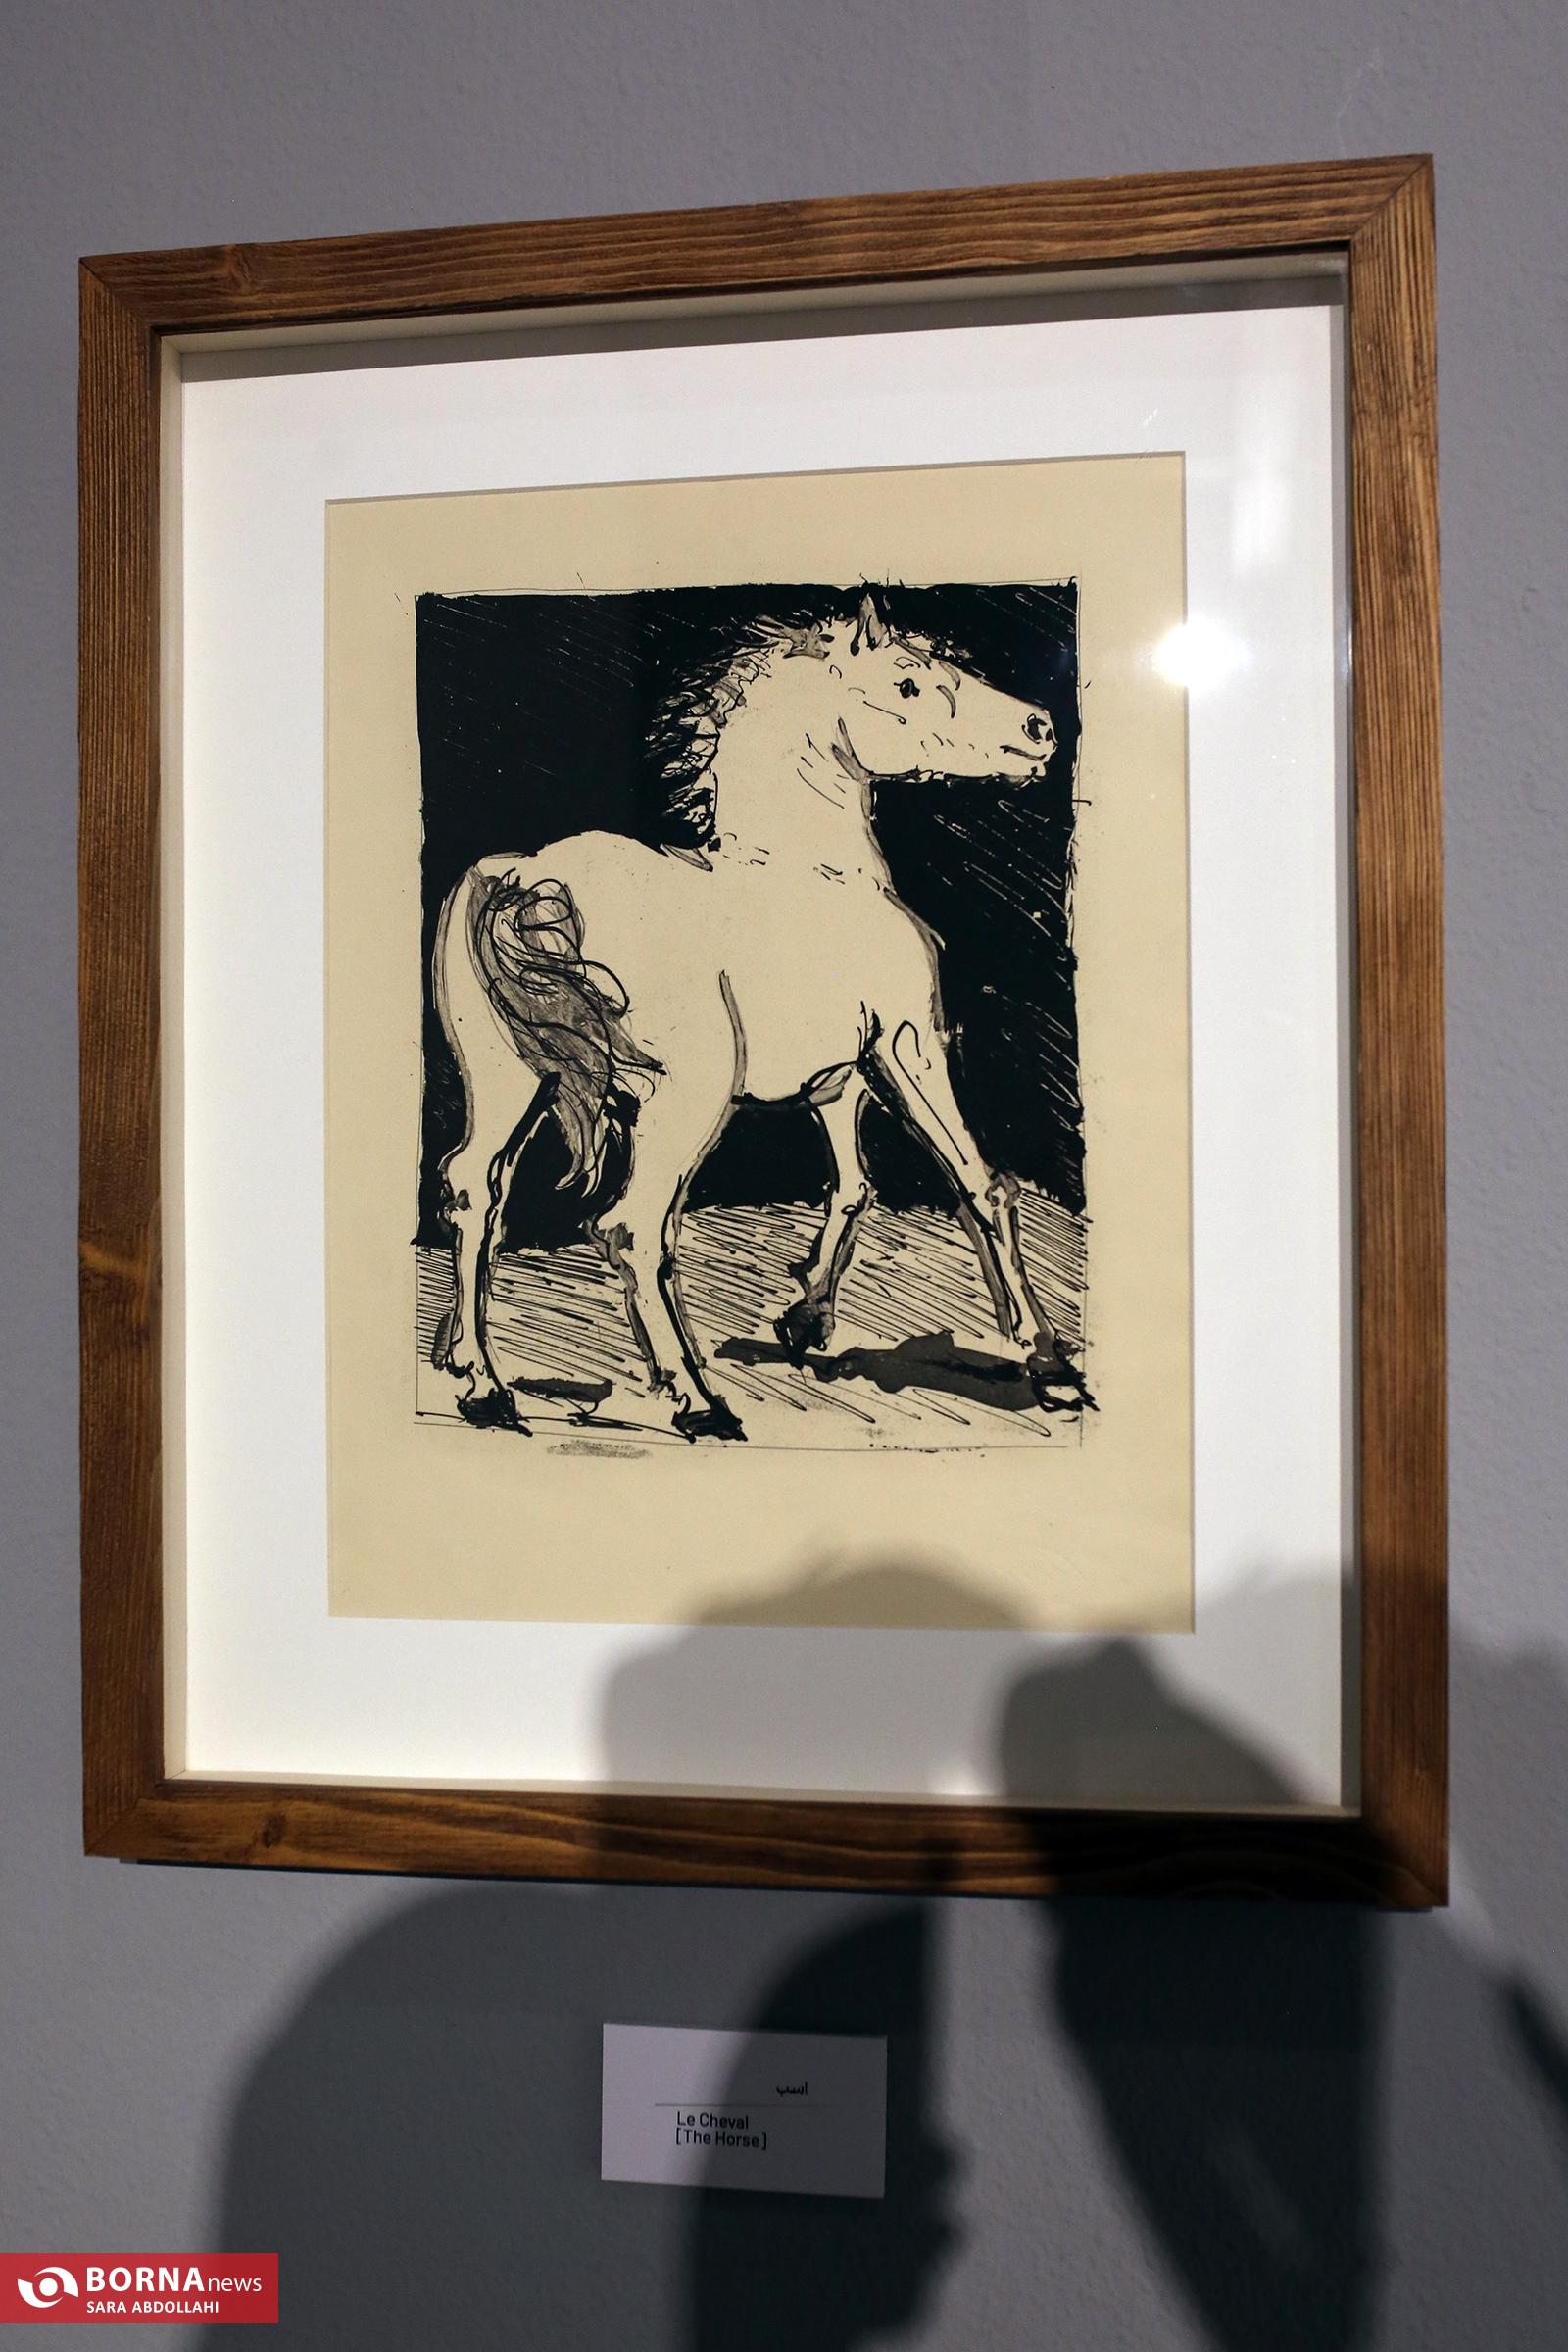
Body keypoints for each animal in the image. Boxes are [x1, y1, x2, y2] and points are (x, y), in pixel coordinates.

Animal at [431, 590, 1087, 1441]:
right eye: (907, 684)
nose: (1039, 728)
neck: (817, 873)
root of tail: (532, 882)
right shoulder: (907, 1049)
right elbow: (982, 1183)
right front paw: (1049, 1362)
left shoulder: (837, 1082)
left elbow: (853, 1186)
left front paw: (804, 1321)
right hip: (682, 1099)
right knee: (633, 1227)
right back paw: (698, 1403)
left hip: (512, 1081)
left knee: (474, 1189)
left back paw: (481, 1384)